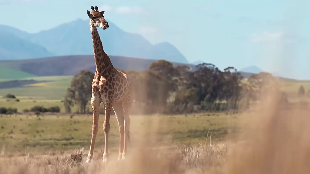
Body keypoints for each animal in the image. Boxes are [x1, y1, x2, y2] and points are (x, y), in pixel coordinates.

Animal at [85, 5, 134, 163]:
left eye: (102, 15)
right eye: (94, 17)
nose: (106, 24)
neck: (101, 68)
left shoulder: (107, 99)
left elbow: (106, 126)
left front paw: (105, 157)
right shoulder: (95, 100)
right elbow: (94, 127)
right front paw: (89, 157)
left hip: (126, 101)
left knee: (126, 123)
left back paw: (124, 155)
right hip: (117, 104)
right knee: (121, 124)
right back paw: (119, 155)